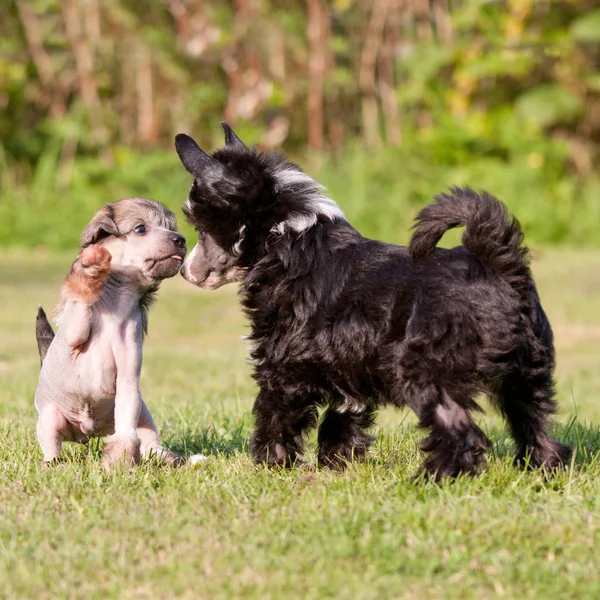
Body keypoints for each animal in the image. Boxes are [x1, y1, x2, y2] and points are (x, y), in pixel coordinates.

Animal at [175, 124, 572, 480]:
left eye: (201, 226)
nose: (184, 271)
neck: (288, 238)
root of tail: (497, 266)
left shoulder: (282, 366)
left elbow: (274, 416)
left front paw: (271, 465)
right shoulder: (348, 366)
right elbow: (342, 417)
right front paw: (336, 464)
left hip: (430, 374)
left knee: (459, 431)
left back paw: (434, 479)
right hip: (528, 374)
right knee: (534, 423)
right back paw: (541, 470)